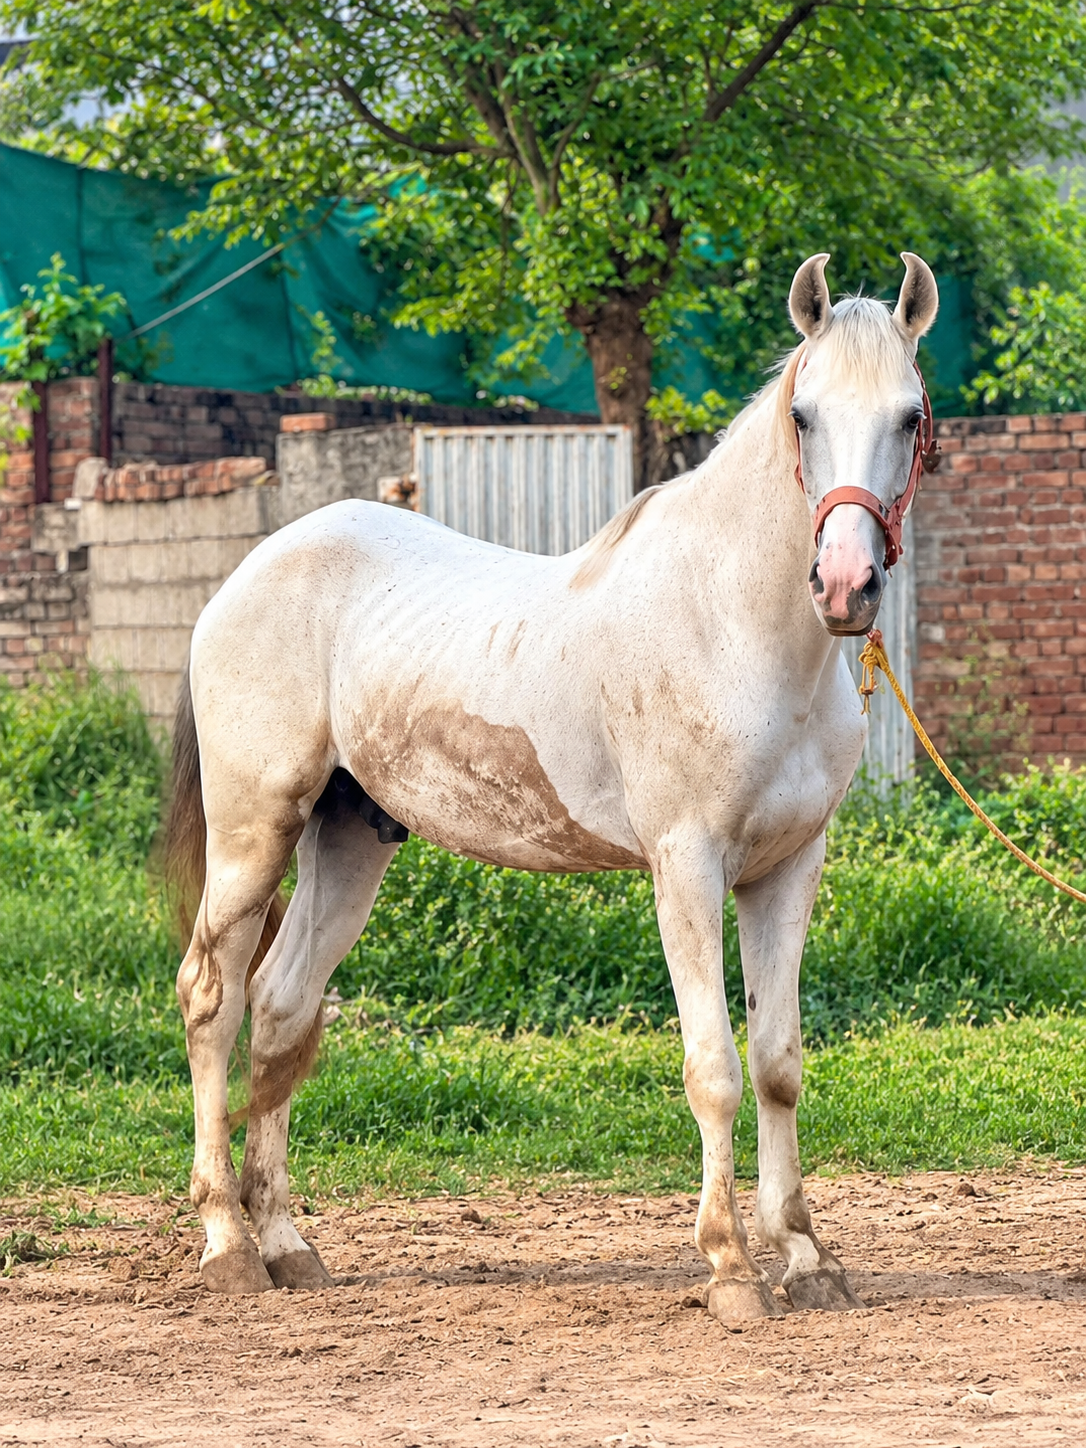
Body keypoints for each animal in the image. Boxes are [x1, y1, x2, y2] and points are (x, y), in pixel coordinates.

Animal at [165, 251, 939, 1322]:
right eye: (803, 415)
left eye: (911, 415)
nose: (845, 585)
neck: (735, 626)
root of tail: (245, 573)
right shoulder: (686, 867)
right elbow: (715, 1067)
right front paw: (731, 1271)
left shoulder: (787, 869)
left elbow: (778, 1064)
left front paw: (807, 1260)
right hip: (254, 831)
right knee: (213, 999)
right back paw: (229, 1245)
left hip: (350, 835)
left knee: (282, 1010)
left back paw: (288, 1245)